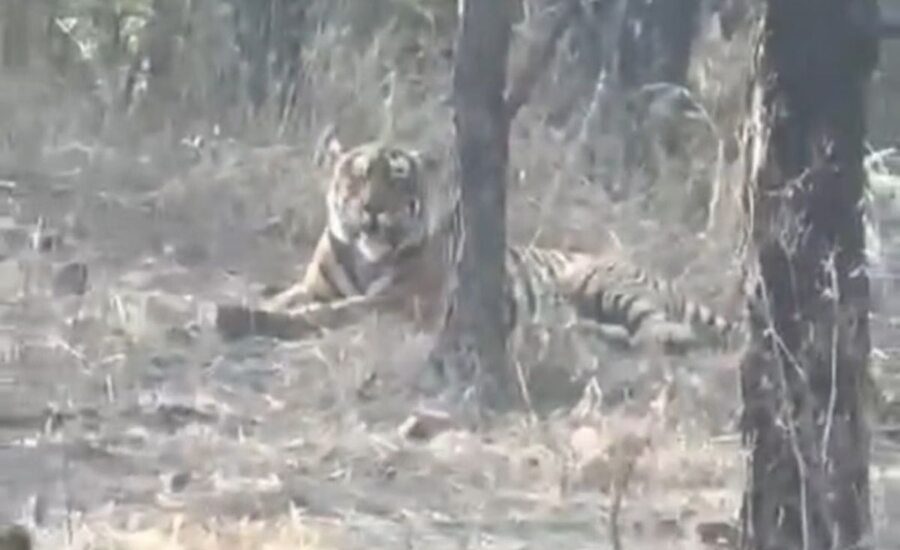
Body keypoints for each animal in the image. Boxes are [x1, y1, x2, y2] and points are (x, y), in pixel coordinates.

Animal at [214, 132, 741, 353]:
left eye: (398, 178)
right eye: (359, 176)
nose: (372, 208)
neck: (367, 259)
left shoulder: (400, 303)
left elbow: (323, 315)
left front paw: (244, 318)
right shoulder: (316, 286)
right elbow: (292, 298)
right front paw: (242, 306)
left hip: (601, 281)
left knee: (665, 326)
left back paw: (663, 338)